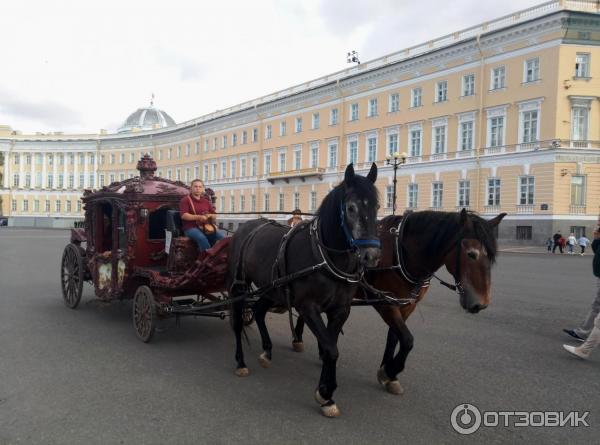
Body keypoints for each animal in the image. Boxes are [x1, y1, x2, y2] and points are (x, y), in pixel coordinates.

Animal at [227, 163, 382, 416]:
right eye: (351, 207)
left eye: (378, 205)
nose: (372, 255)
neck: (324, 257)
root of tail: (246, 227)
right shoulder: (308, 307)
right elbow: (330, 348)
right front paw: (326, 394)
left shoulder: (340, 310)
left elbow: (331, 347)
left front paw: (326, 393)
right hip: (238, 287)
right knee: (238, 323)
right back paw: (240, 362)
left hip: (272, 289)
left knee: (258, 312)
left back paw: (267, 351)